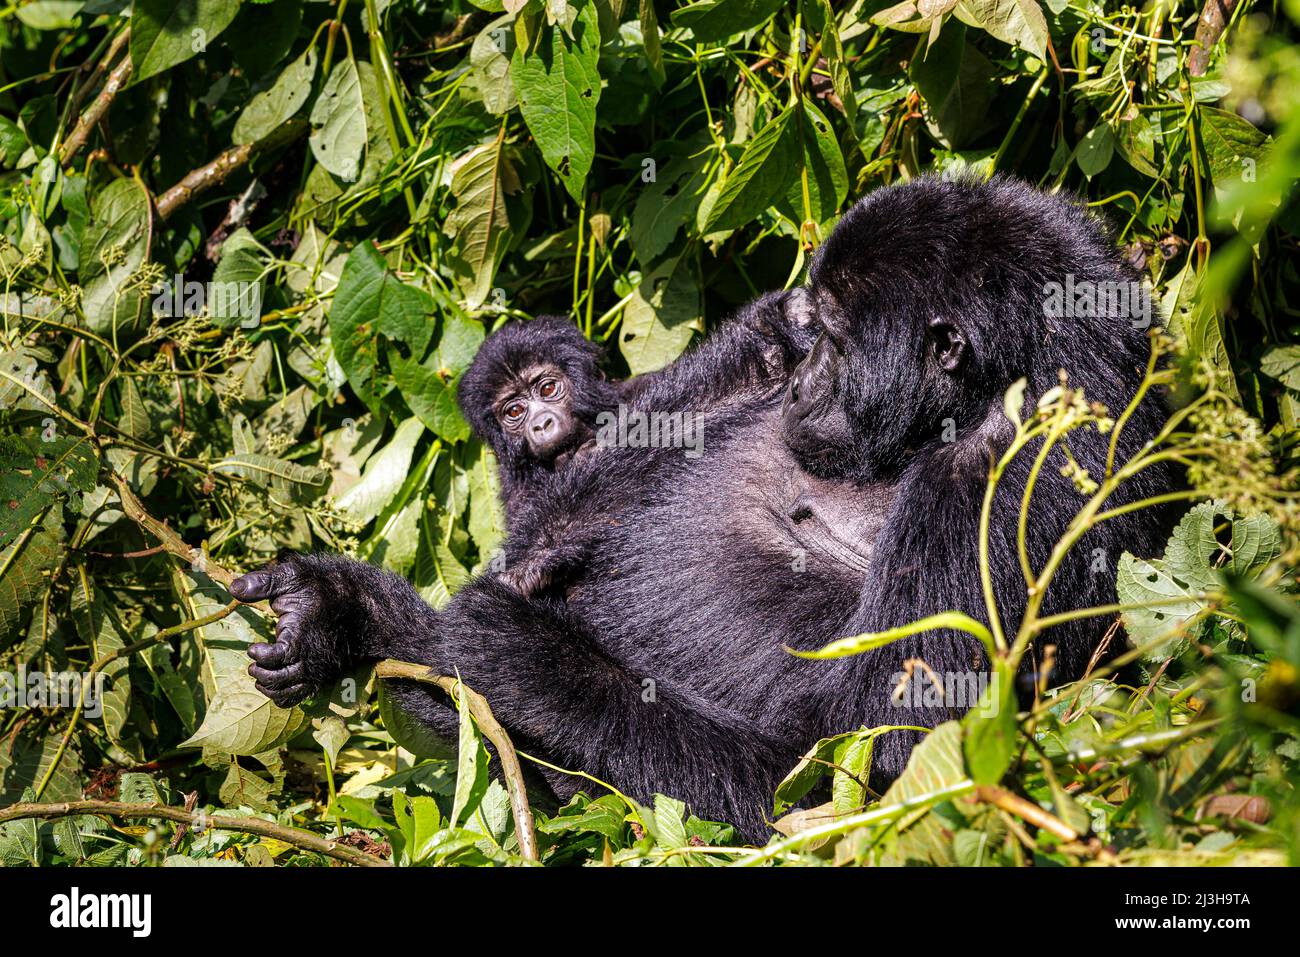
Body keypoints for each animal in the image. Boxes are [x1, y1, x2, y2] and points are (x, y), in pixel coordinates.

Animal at [233, 178, 1180, 837]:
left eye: (839, 344)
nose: (802, 383)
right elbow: (692, 395)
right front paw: (350, 609)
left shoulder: (1014, 478)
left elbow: (871, 771)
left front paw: (517, 649)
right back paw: (359, 619)